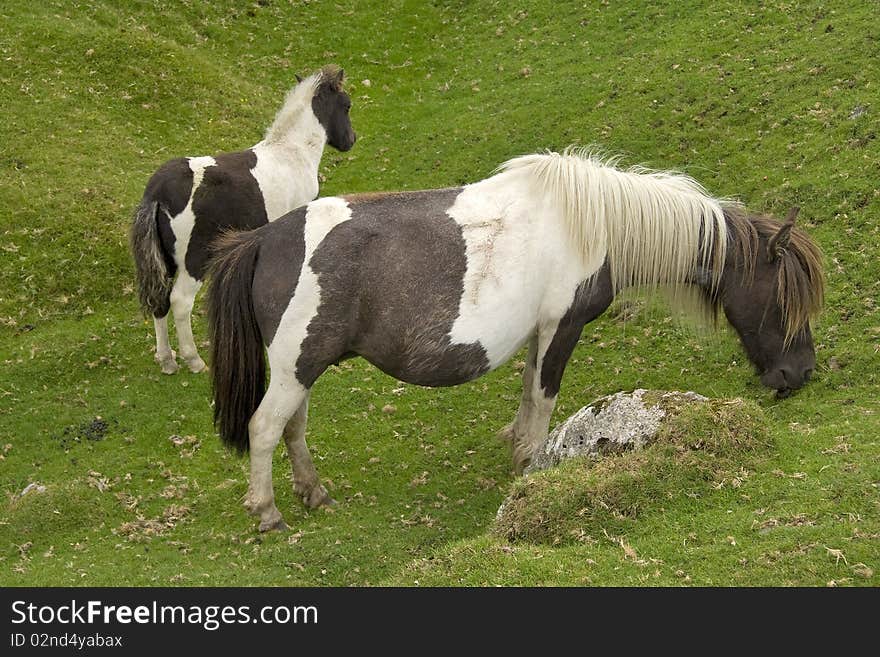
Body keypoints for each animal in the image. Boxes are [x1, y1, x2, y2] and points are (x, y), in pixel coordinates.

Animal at [130, 66, 354, 376]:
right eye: (346, 105)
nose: (350, 140)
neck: (291, 152)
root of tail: (158, 193)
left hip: (165, 260)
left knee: (160, 300)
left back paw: (167, 361)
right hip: (193, 261)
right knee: (180, 302)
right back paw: (194, 360)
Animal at [203, 150, 820, 532]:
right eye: (783, 300)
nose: (800, 374)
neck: (593, 222)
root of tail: (262, 240)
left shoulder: (538, 332)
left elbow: (528, 391)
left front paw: (519, 449)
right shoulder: (562, 327)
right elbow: (544, 398)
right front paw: (533, 465)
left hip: (304, 368)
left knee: (293, 429)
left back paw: (314, 493)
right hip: (294, 368)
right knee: (265, 428)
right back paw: (268, 512)